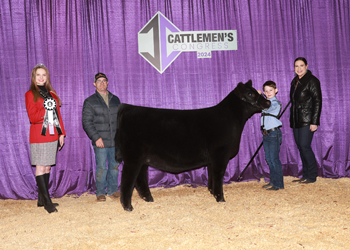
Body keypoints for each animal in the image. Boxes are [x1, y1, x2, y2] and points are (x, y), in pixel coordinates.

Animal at [115, 80, 270, 211]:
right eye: (250, 94)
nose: (268, 102)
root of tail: (127, 107)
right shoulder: (221, 154)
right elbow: (218, 175)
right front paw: (220, 198)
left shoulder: (212, 158)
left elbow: (211, 175)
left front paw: (212, 193)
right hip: (133, 157)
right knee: (127, 179)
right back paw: (128, 206)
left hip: (142, 159)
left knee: (140, 178)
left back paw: (148, 198)